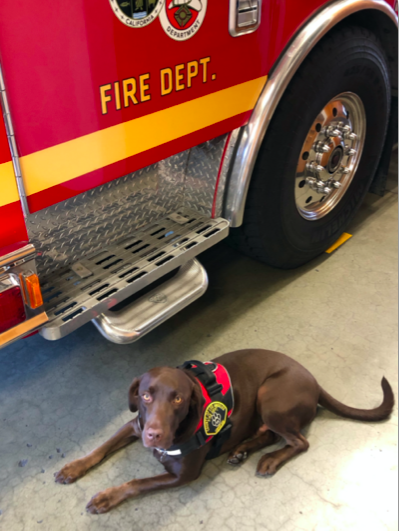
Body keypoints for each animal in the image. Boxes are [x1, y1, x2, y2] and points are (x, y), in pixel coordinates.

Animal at [54, 350, 396, 516]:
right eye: (146, 396)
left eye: (178, 399)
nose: (154, 436)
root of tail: (314, 381)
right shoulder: (134, 425)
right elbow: (101, 447)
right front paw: (73, 467)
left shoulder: (183, 475)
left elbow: (136, 482)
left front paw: (106, 497)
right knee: (272, 434)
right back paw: (242, 450)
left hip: (270, 396)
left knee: (300, 441)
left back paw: (269, 460)